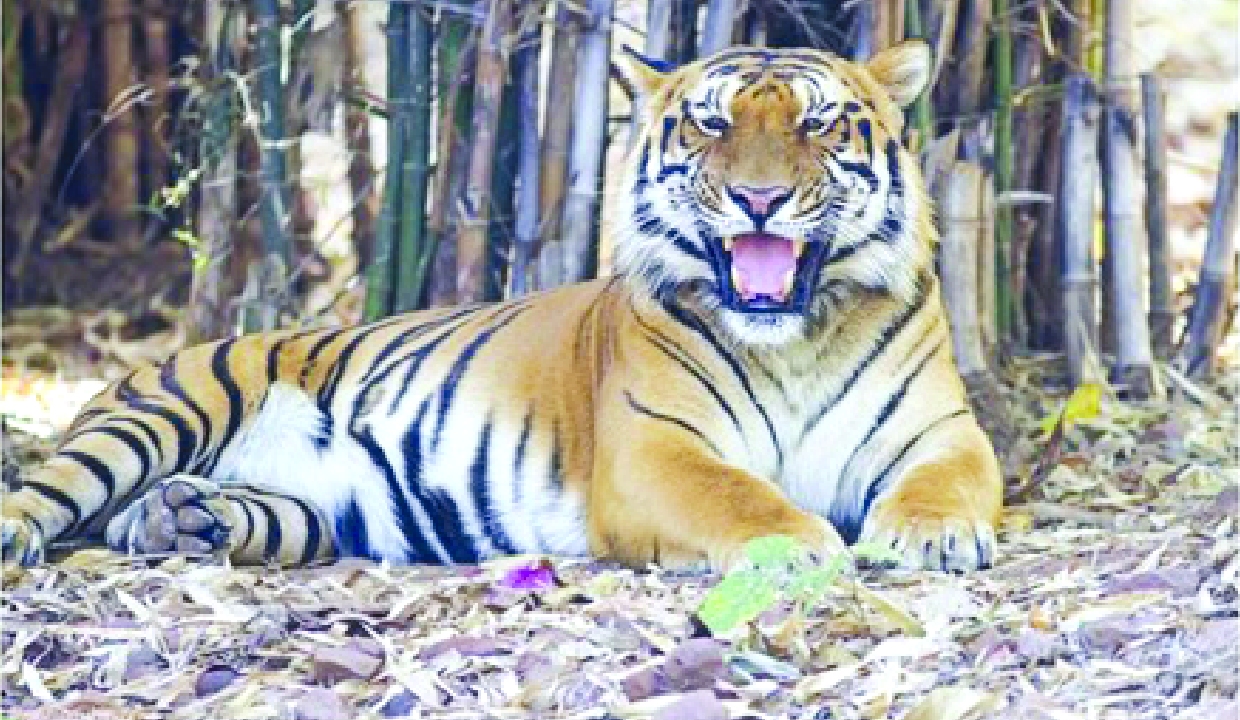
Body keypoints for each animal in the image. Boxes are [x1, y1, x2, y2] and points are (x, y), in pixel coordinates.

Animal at [1, 41, 1002, 573]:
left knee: (186, 518)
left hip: (315, 511)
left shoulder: (940, 432)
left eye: (816, 123)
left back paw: (180, 519)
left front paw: (932, 538)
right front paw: (796, 546)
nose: (759, 198)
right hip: (163, 410)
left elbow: (947, 484)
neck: (793, 340)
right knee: (48, 491)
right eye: (712, 124)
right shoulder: (655, 450)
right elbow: (739, 495)